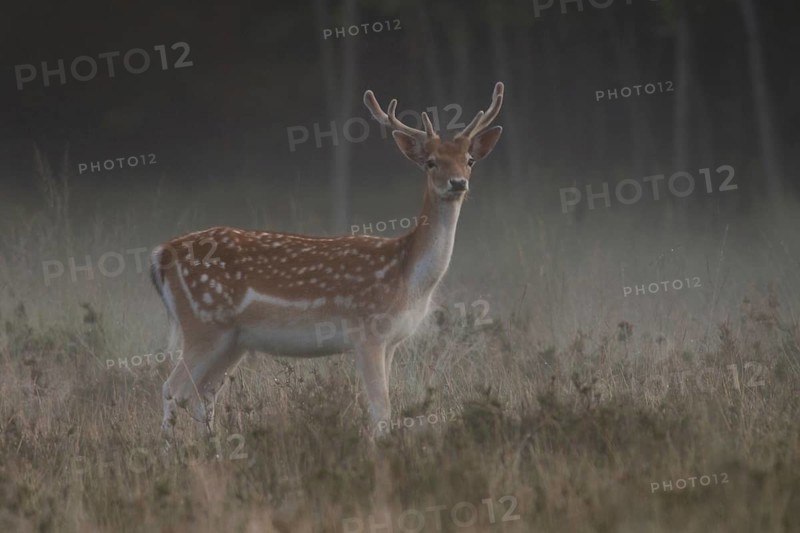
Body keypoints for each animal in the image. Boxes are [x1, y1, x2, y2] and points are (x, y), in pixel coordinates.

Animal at [150, 82, 504, 439]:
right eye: (431, 162)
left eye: (469, 160)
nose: (457, 183)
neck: (408, 278)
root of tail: (161, 253)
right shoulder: (366, 331)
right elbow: (380, 408)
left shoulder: (391, 340)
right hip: (203, 323)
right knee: (173, 389)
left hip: (232, 339)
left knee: (203, 395)